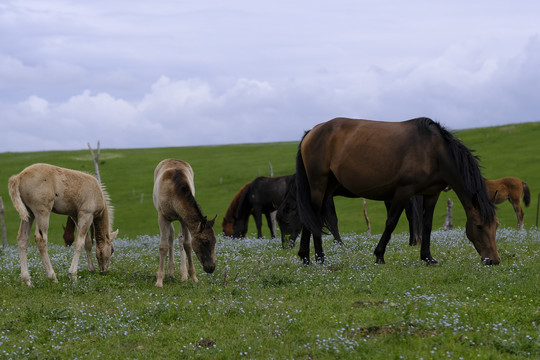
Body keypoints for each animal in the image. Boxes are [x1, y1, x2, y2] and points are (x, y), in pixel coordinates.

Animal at [151, 159, 216, 288]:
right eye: (205, 242)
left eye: (215, 242)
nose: (211, 268)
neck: (174, 195)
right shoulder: (162, 217)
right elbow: (163, 246)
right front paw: (159, 281)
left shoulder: (183, 219)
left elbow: (187, 244)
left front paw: (193, 277)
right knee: (170, 236)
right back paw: (171, 271)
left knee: (179, 238)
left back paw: (182, 274)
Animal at [294, 117, 500, 264]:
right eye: (479, 226)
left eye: (496, 225)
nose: (494, 260)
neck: (434, 151)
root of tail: (312, 131)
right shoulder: (404, 191)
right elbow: (391, 222)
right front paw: (379, 255)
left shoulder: (431, 194)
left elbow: (427, 224)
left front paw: (427, 257)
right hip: (318, 185)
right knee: (312, 215)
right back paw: (312, 257)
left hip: (329, 187)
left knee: (317, 216)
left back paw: (313, 257)